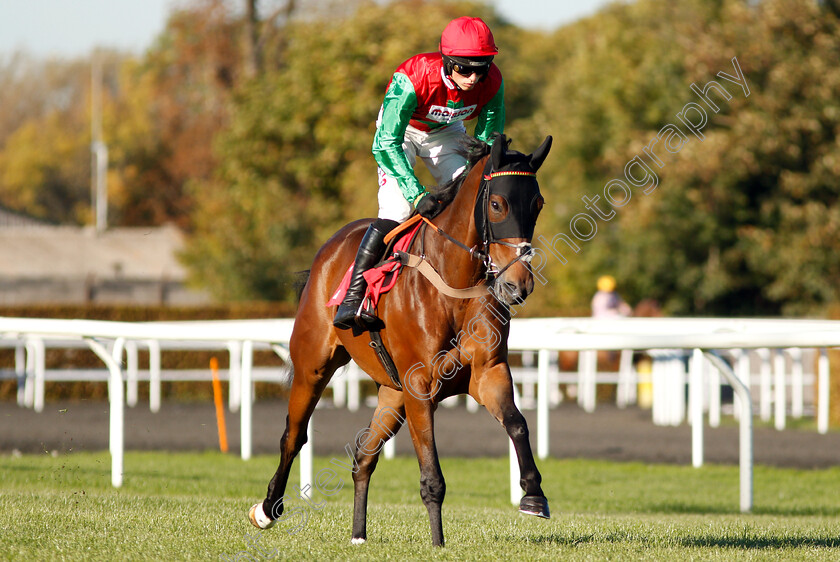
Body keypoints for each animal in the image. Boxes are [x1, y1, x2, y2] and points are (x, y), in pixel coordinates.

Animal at [248, 131, 552, 544]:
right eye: (497, 203)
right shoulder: (419, 386)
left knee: (364, 456)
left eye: (537, 204)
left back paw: (358, 534)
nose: (518, 284)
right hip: (313, 365)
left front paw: (534, 495)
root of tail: (328, 250)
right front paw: (438, 544)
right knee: (293, 437)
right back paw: (267, 509)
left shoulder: (487, 372)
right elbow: (432, 476)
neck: (454, 284)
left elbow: (518, 423)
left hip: (391, 394)